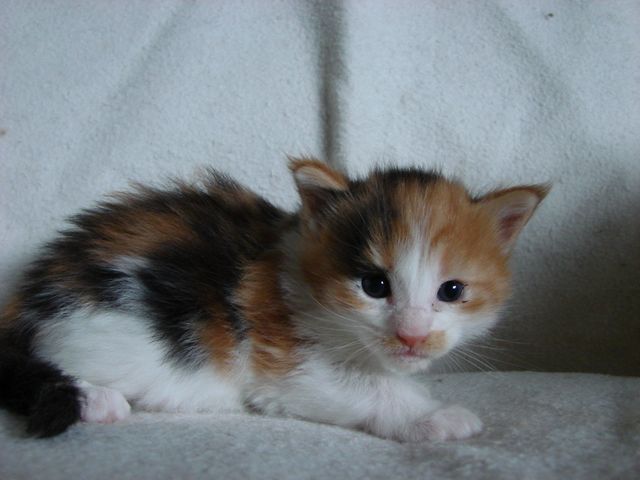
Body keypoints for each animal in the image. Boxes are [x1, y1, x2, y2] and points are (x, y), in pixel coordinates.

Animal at [0, 158, 547, 441]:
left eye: (451, 292)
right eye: (374, 285)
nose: (411, 335)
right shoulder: (281, 356)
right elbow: (367, 389)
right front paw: (434, 417)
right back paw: (97, 400)